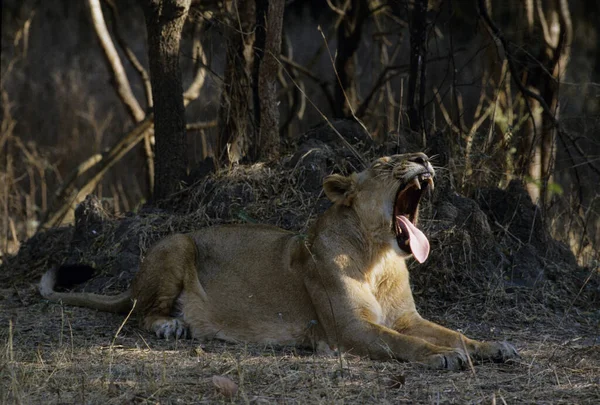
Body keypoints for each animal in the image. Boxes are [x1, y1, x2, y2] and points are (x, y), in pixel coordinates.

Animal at [38, 153, 516, 368]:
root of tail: (133, 282)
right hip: (177, 242)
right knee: (140, 314)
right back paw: (171, 325)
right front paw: (443, 357)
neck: (379, 259)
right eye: (386, 164)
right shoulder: (347, 330)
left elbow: (453, 332)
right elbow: (407, 344)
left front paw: (493, 346)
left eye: (415, 155)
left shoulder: (405, 318)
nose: (422, 158)